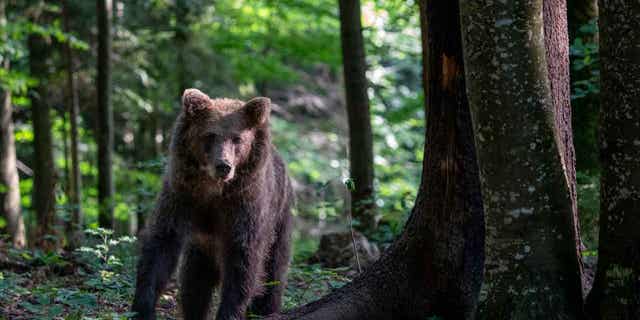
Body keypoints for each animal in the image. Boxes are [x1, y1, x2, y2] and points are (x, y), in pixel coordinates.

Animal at [133, 88, 298, 320]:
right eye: (210, 135)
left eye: (237, 139)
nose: (223, 166)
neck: (214, 191)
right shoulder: (182, 196)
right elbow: (162, 244)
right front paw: (143, 307)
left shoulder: (244, 206)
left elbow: (244, 260)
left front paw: (230, 312)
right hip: (201, 246)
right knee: (194, 279)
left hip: (280, 219)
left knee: (273, 271)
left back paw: (267, 309)